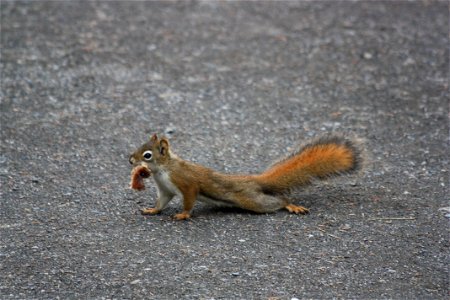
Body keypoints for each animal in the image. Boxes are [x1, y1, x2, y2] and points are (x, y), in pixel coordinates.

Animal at [128, 134, 364, 220]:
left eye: (147, 155)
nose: (130, 160)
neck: (163, 169)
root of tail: (254, 180)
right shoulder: (165, 189)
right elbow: (162, 202)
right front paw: (152, 210)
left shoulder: (185, 183)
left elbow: (189, 198)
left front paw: (184, 215)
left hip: (253, 201)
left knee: (278, 200)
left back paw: (291, 205)